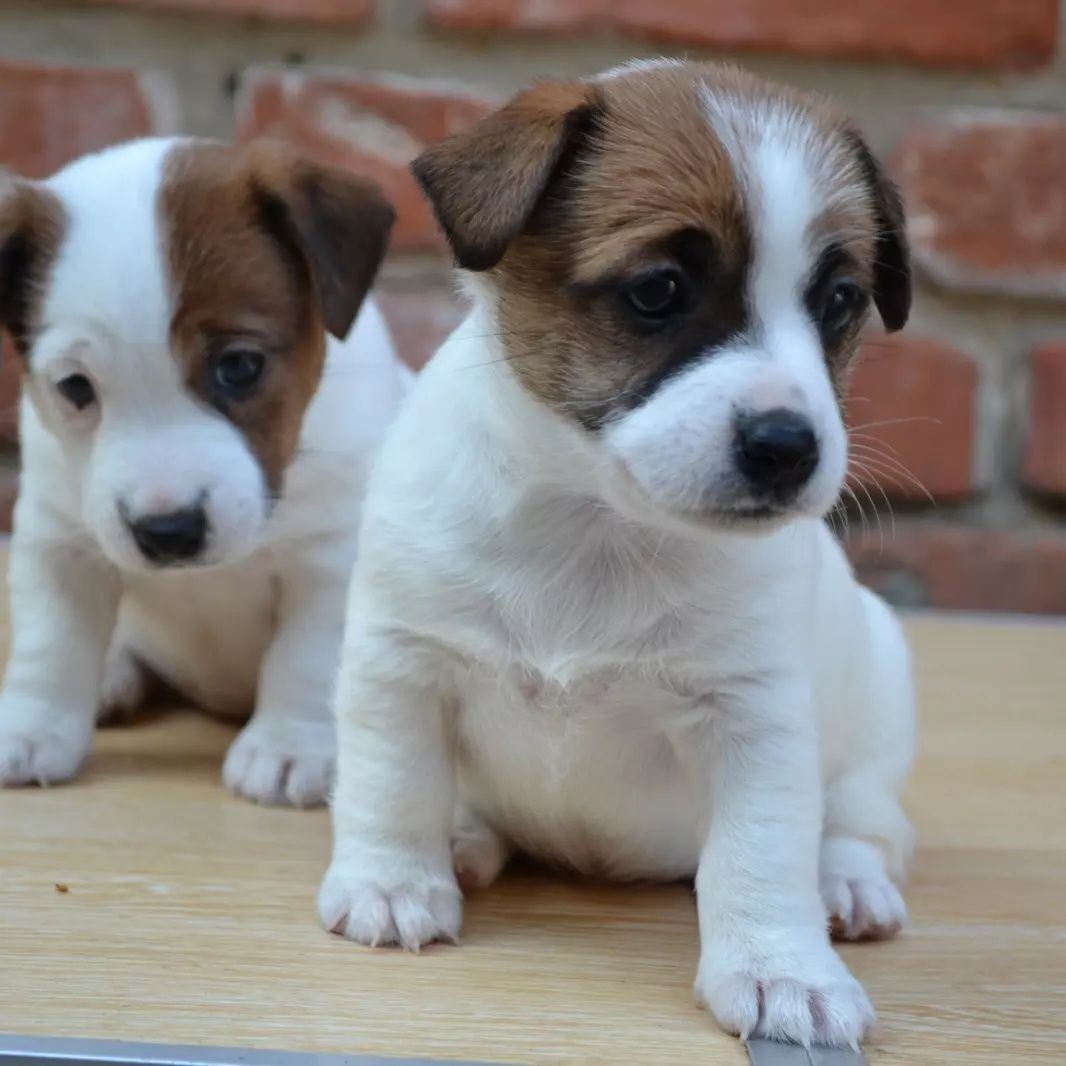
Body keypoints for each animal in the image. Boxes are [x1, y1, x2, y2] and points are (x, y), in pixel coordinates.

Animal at [0, 133, 407, 801]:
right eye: (76, 388)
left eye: (239, 365)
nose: (167, 533)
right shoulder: (59, 542)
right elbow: (50, 646)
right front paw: (30, 727)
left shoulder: (332, 559)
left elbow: (307, 657)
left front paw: (289, 746)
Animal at [315, 60, 916, 1048]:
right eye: (658, 289)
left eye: (839, 302)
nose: (788, 446)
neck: (595, 524)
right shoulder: (401, 662)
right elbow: (392, 782)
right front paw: (392, 881)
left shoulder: (755, 719)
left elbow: (761, 853)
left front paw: (780, 969)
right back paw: (466, 836)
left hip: (879, 703)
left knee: (862, 821)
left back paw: (848, 881)